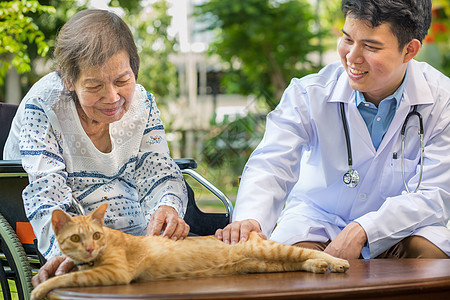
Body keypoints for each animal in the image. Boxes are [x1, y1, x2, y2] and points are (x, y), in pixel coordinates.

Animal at [31, 204, 350, 300]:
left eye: (96, 235)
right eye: (76, 238)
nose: (89, 247)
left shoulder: (115, 273)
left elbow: (64, 278)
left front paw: (39, 289)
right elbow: (70, 273)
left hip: (271, 249)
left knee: (311, 253)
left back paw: (338, 262)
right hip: (266, 265)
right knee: (299, 262)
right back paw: (318, 268)